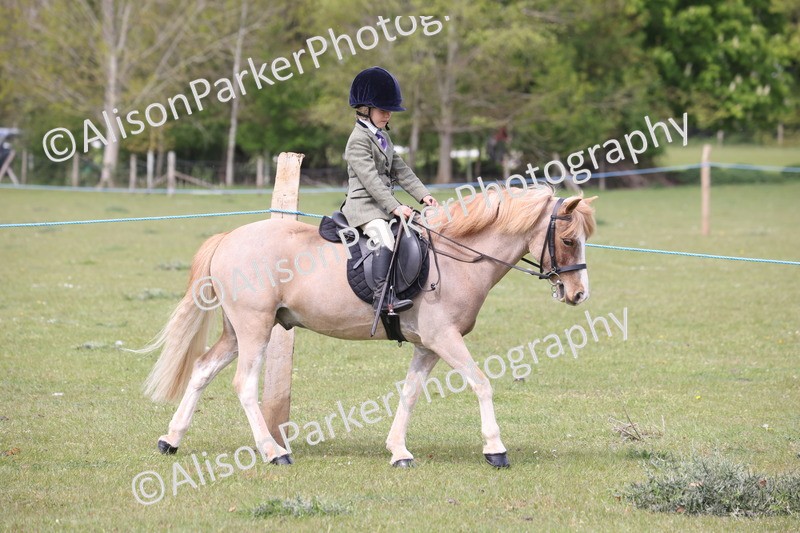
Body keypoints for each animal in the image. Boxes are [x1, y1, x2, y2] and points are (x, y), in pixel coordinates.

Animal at [140, 186, 597, 467]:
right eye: (568, 241)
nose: (578, 294)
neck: (455, 259)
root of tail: (230, 238)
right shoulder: (444, 339)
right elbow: (482, 383)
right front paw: (495, 449)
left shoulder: (428, 345)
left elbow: (410, 394)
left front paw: (398, 451)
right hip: (254, 329)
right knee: (243, 385)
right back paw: (273, 452)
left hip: (239, 330)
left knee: (202, 369)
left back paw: (171, 439)